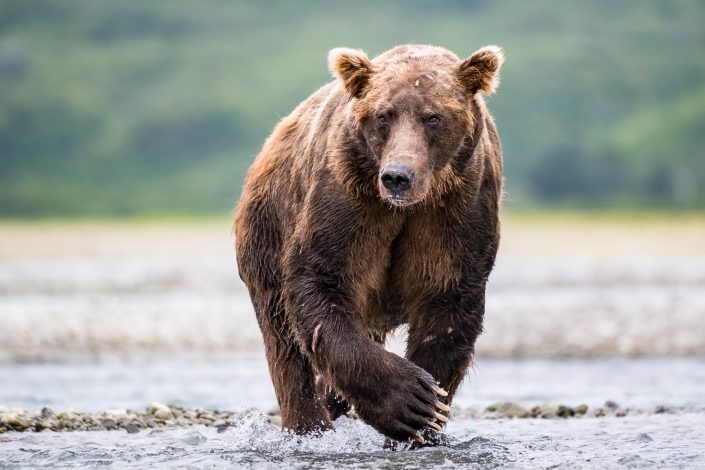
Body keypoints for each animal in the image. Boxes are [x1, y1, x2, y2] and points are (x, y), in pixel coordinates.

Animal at [234, 43, 504, 444]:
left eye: (433, 117)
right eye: (383, 115)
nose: (397, 176)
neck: (409, 207)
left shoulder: (458, 211)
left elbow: (449, 305)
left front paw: (426, 418)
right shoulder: (348, 197)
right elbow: (321, 281)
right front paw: (410, 401)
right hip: (265, 231)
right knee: (284, 344)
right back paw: (308, 427)